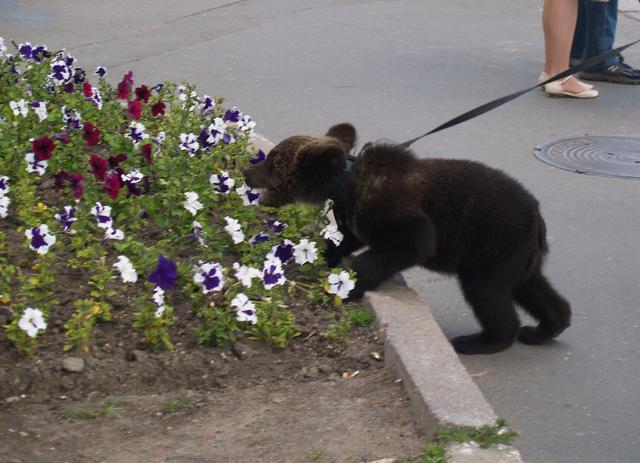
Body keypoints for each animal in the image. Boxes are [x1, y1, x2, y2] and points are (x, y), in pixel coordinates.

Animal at [243, 123, 571, 354]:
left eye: (273, 162)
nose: (247, 171)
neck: (343, 185)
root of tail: (537, 216)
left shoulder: (398, 214)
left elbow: (411, 242)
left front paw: (350, 286)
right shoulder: (354, 218)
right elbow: (346, 239)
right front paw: (322, 259)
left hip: (491, 246)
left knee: (487, 292)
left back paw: (482, 340)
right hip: (515, 256)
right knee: (530, 287)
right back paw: (546, 327)